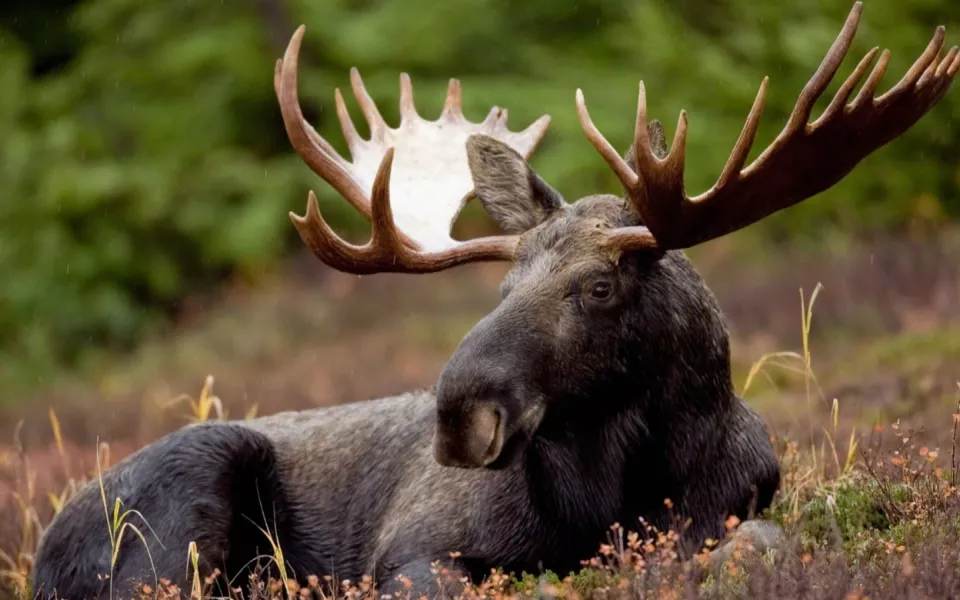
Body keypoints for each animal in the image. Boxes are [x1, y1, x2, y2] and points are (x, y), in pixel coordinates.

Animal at [31, 2, 960, 596]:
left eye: (599, 286)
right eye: (504, 285)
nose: (458, 415)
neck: (614, 497)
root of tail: (43, 547)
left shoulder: (736, 512)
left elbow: (756, 545)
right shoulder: (416, 550)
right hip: (180, 509)